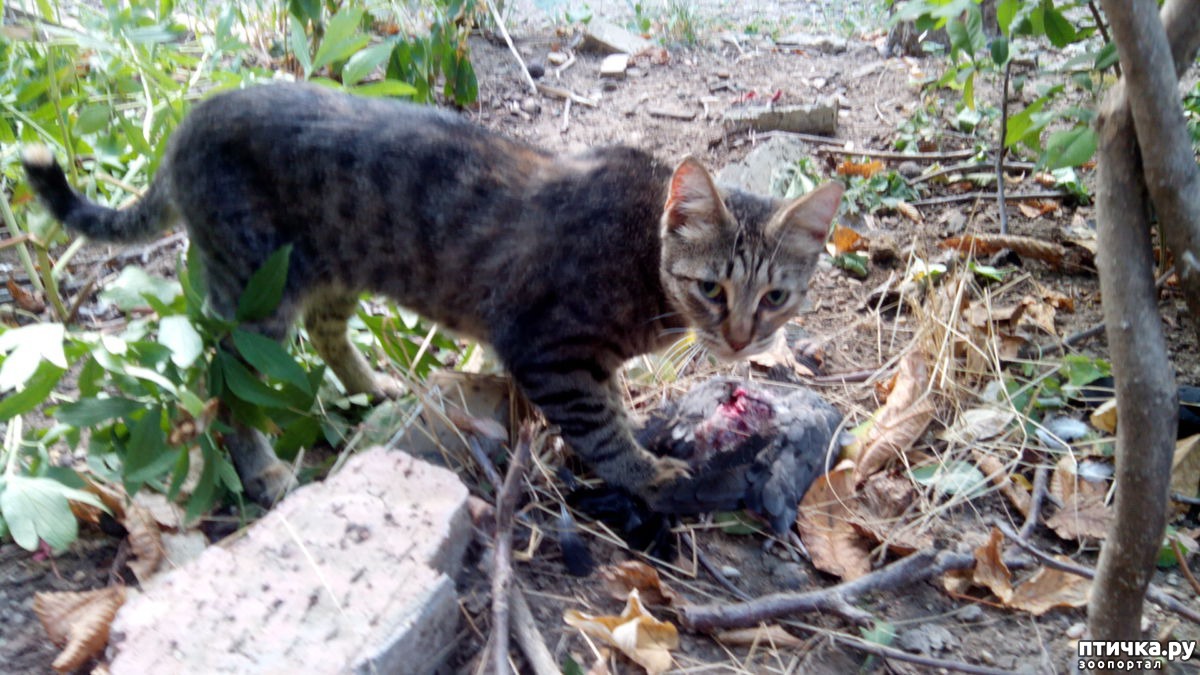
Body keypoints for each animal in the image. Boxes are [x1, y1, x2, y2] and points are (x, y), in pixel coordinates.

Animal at [21, 82, 844, 504]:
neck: (642, 255)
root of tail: (190, 119)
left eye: (775, 297)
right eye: (711, 287)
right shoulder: (548, 350)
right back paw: (262, 469)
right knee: (225, 379)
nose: (740, 339)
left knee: (326, 333)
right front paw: (643, 469)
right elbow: (602, 425)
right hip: (257, 290)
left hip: (334, 269)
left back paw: (372, 385)